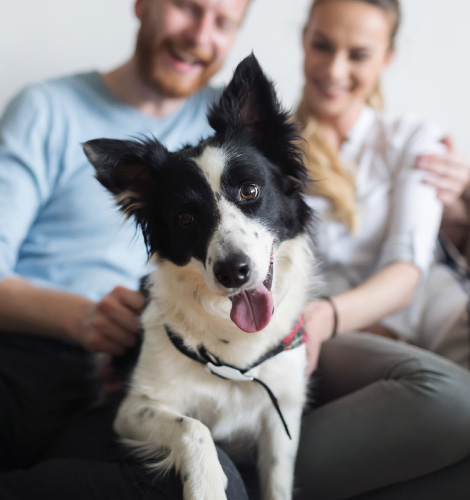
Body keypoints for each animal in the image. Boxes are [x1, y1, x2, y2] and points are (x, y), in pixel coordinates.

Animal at [82, 54, 316, 500]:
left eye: (249, 191)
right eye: (185, 218)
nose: (233, 272)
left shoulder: (282, 416)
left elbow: (278, 481)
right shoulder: (134, 407)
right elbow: (193, 427)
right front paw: (206, 483)